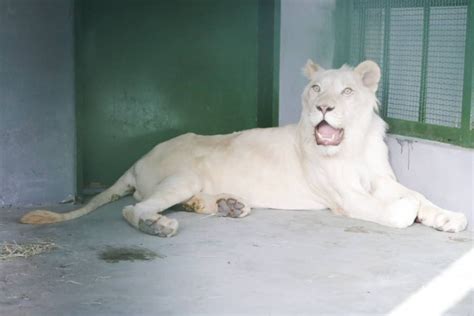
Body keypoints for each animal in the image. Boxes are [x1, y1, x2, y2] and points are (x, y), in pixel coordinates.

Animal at [20, 60, 468, 236]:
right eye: (315, 88)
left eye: (346, 91)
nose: (323, 107)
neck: (352, 146)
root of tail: (137, 160)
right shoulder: (346, 197)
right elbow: (397, 211)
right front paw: (409, 212)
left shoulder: (381, 179)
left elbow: (419, 196)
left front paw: (449, 218)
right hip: (181, 177)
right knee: (134, 208)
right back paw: (159, 226)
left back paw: (225, 206)